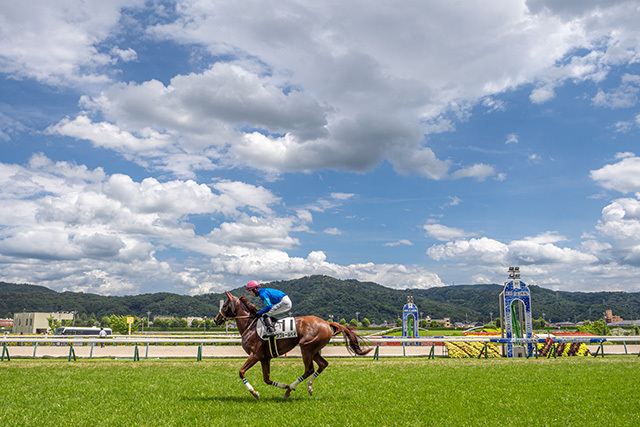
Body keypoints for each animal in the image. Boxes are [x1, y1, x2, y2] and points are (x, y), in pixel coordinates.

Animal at [212, 292, 370, 400]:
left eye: (224, 306)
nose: (216, 320)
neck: (250, 326)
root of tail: (326, 322)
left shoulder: (255, 355)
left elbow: (241, 372)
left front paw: (255, 392)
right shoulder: (265, 358)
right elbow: (266, 379)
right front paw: (283, 386)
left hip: (306, 347)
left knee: (309, 369)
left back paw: (291, 389)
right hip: (314, 350)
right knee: (323, 364)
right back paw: (307, 387)